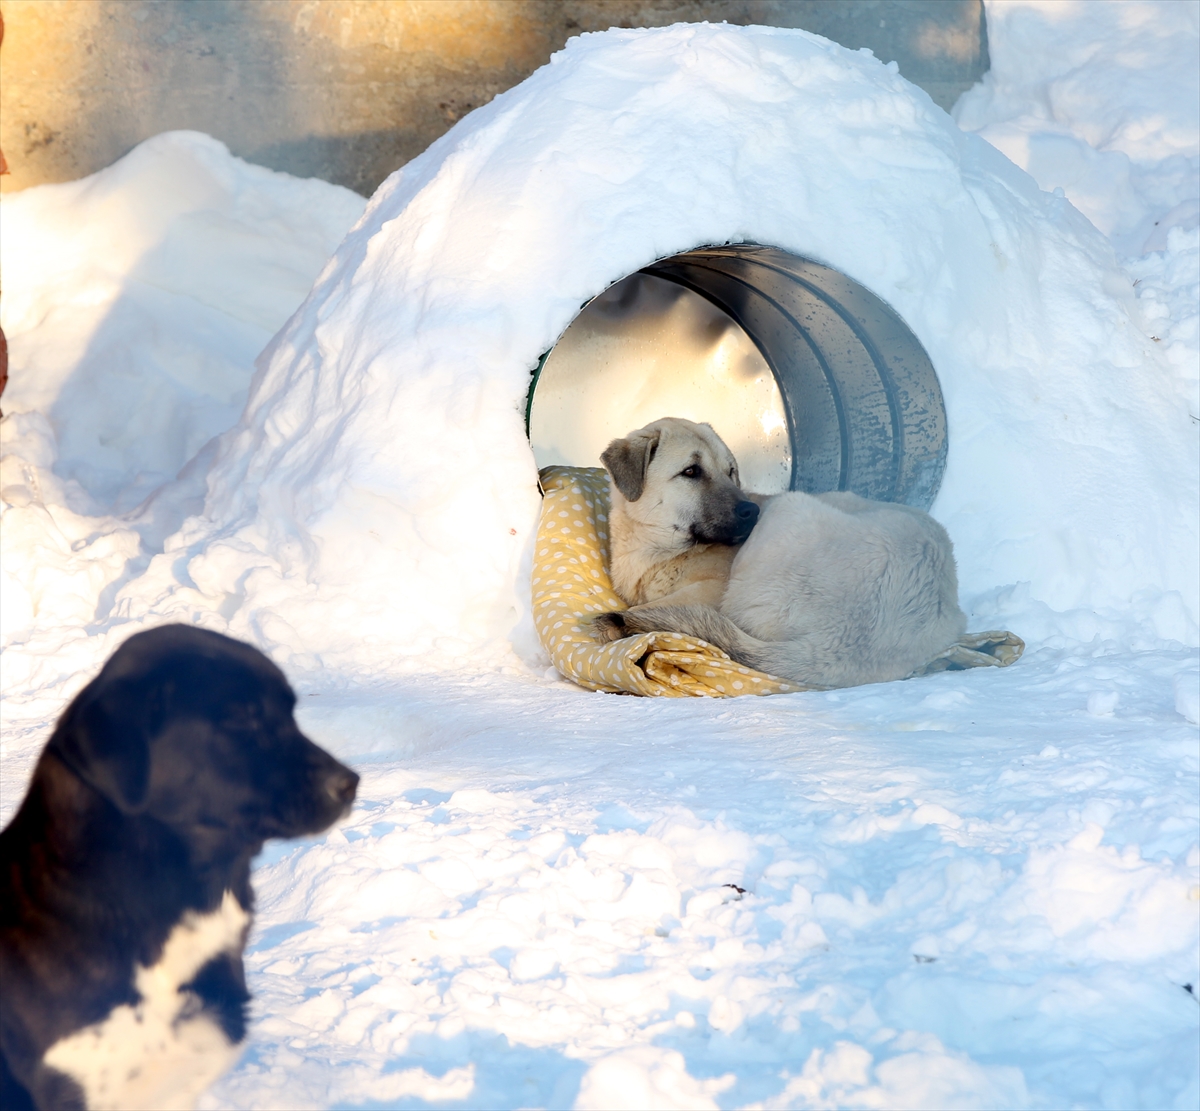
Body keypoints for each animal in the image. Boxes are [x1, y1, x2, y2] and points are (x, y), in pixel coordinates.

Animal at [595, 417, 969, 691]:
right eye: (691, 472)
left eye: (730, 471)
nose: (751, 511)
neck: (657, 550)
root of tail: (848, 644)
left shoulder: (711, 590)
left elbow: (645, 607)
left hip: (787, 512)